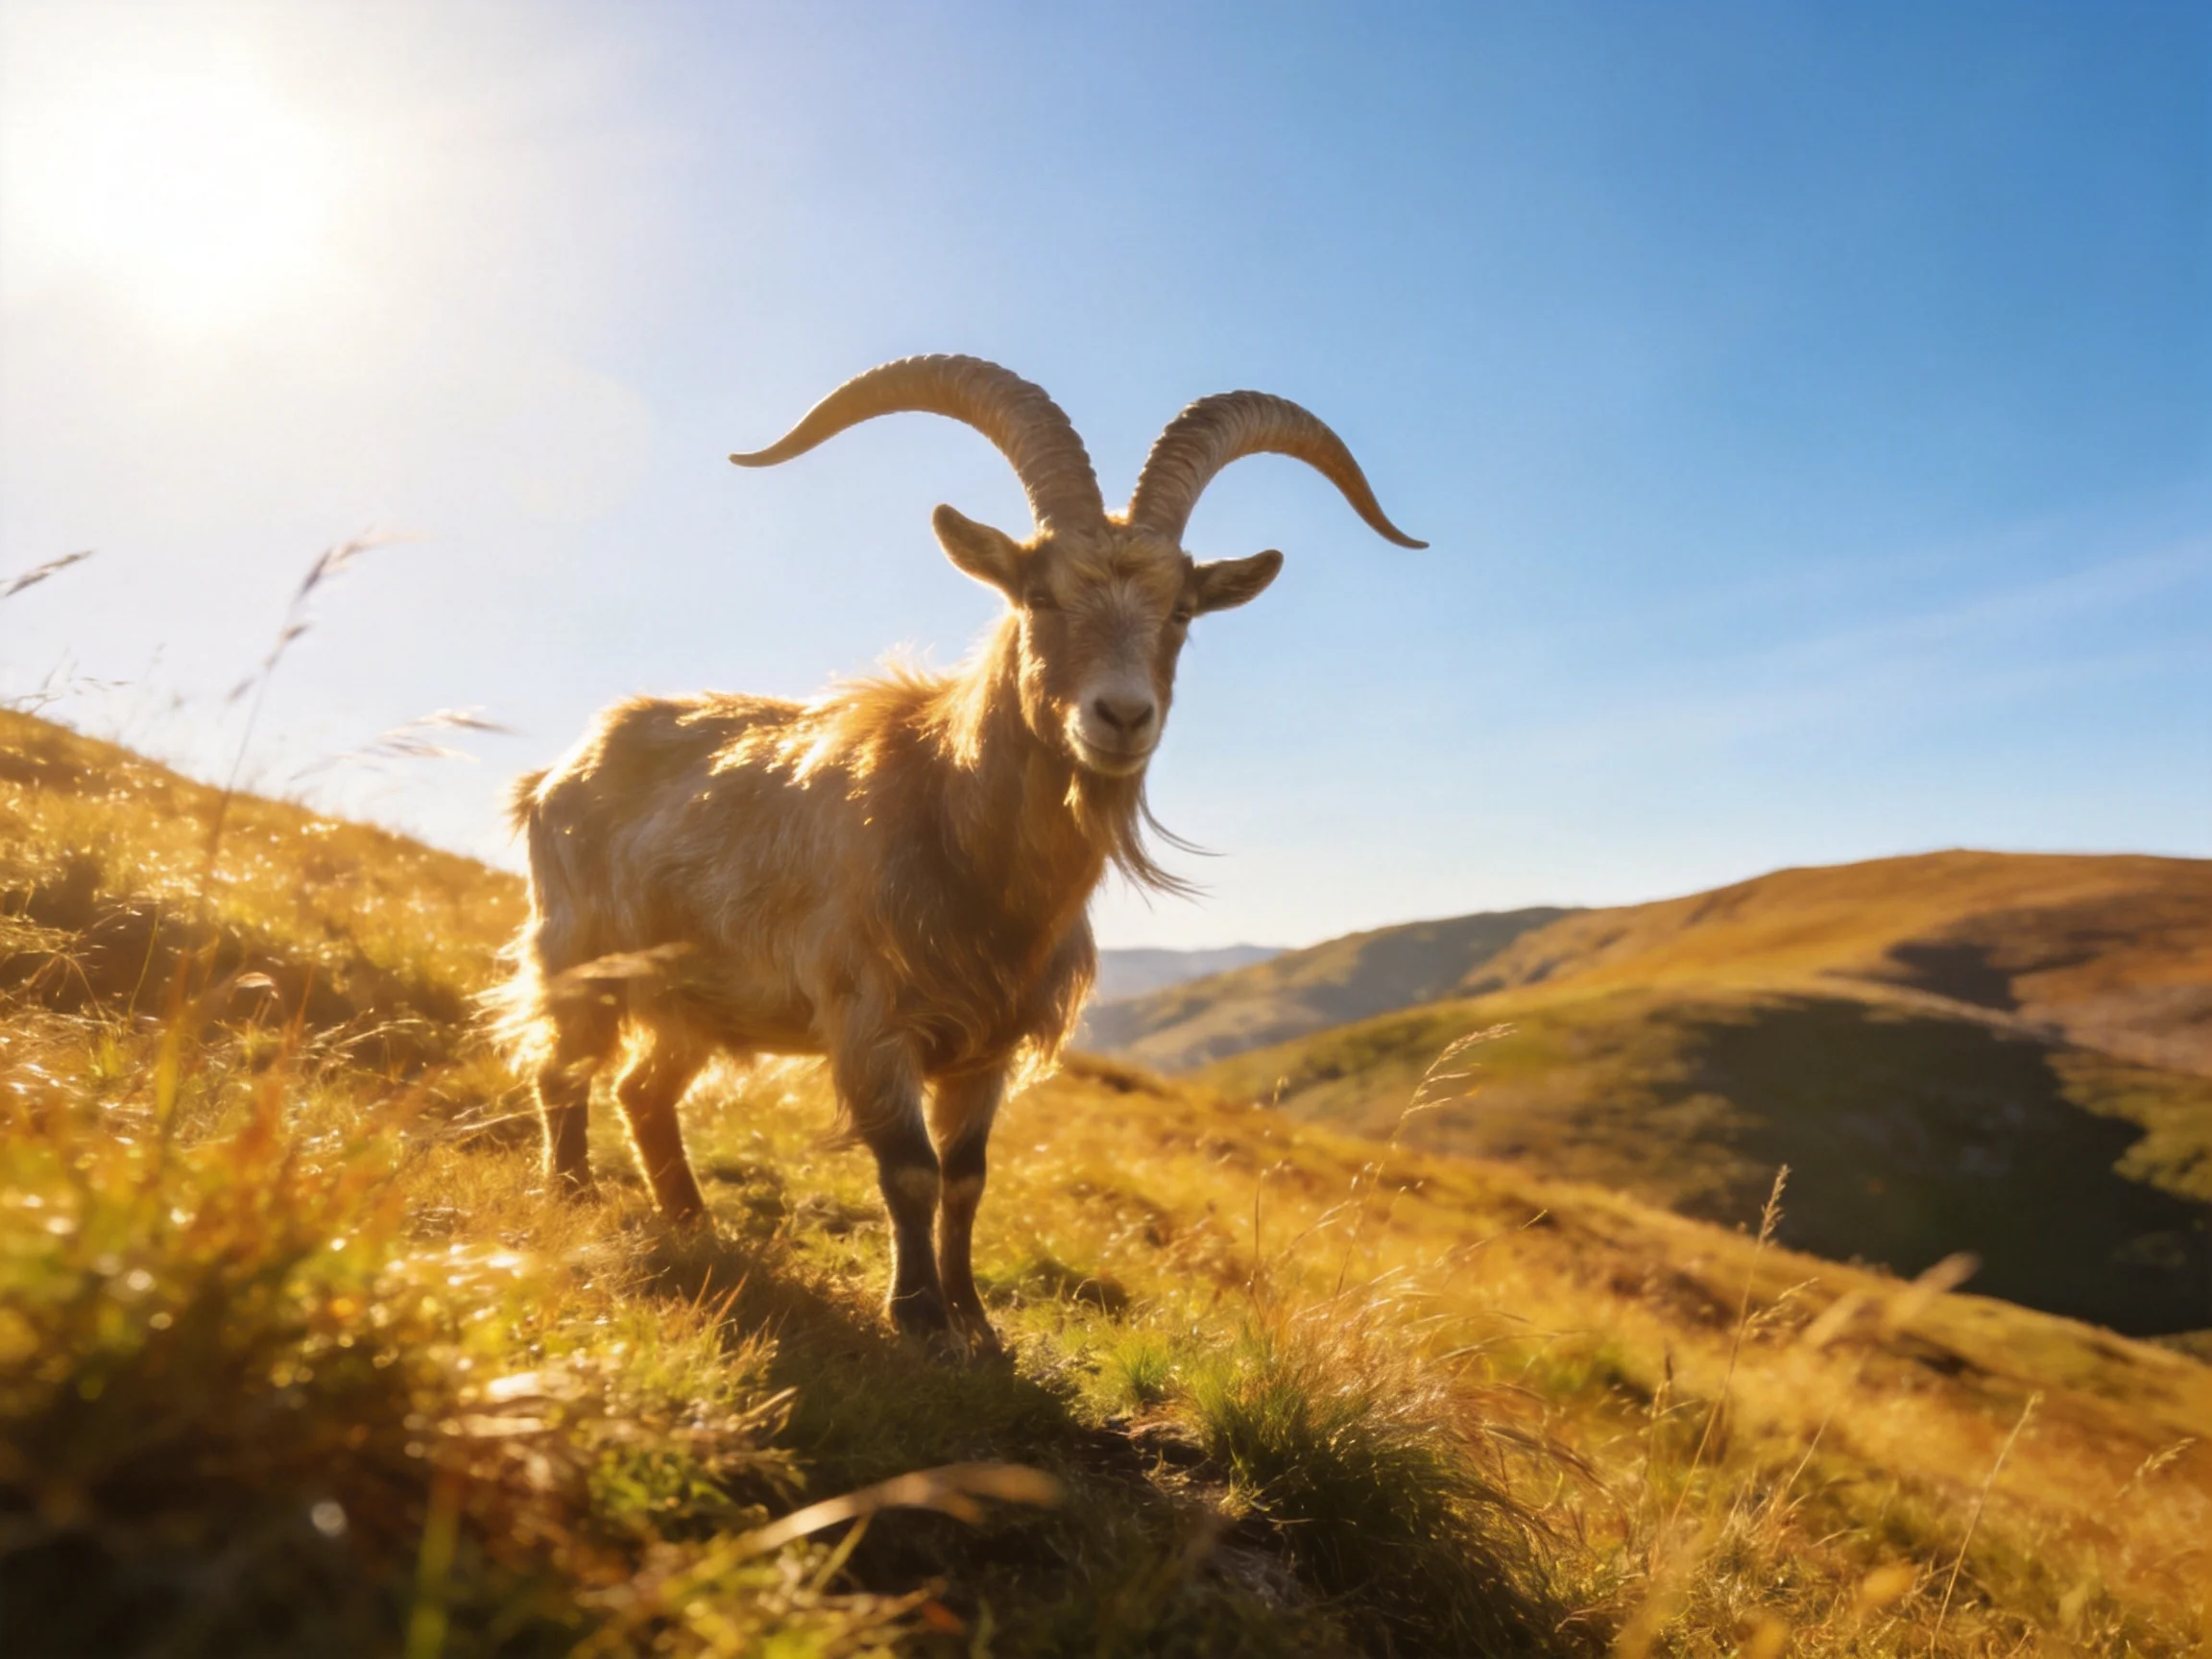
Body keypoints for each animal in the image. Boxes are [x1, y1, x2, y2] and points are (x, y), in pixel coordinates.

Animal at [499, 355, 1421, 1350]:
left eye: (1180, 609)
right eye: (1040, 594)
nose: (1121, 716)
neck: (958, 836)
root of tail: (557, 772)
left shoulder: (992, 1047)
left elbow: (967, 1177)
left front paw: (977, 1323)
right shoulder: (871, 1020)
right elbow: (909, 1168)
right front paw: (917, 1318)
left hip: (693, 1000)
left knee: (643, 1090)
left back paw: (693, 1225)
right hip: (580, 951)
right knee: (564, 1068)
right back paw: (573, 1196)